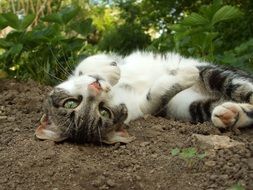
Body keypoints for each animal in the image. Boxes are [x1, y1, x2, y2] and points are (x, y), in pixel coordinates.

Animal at [34, 51, 253, 143]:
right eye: (104, 112)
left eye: (71, 103)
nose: (96, 87)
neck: (118, 91)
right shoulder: (144, 108)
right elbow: (155, 97)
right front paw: (184, 75)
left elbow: (86, 63)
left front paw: (111, 70)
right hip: (190, 107)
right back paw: (229, 113)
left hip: (215, 73)